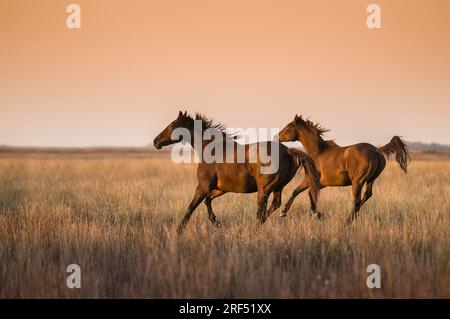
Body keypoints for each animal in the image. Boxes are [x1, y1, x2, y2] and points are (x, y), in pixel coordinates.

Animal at [154, 111, 320, 234]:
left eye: (172, 125)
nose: (156, 141)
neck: (210, 149)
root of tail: (288, 151)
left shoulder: (203, 187)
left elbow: (191, 207)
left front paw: (179, 230)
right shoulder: (221, 189)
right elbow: (208, 201)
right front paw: (216, 222)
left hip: (264, 189)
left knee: (261, 212)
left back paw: (255, 229)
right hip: (278, 187)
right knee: (274, 206)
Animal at [276, 115, 410, 225]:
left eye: (287, 127)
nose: (276, 137)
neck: (317, 152)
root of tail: (377, 151)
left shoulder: (310, 180)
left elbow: (300, 192)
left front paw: (285, 212)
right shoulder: (321, 183)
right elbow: (302, 192)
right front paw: (314, 214)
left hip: (358, 182)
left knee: (357, 200)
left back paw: (347, 221)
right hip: (371, 179)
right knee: (366, 196)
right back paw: (353, 216)